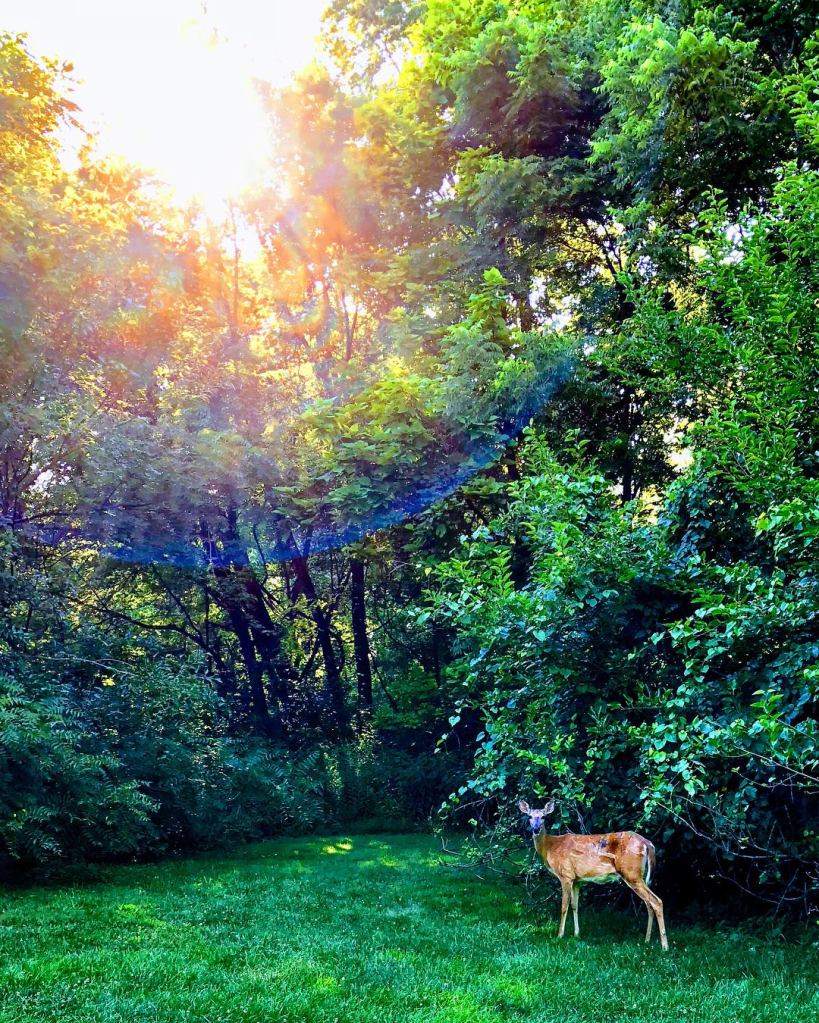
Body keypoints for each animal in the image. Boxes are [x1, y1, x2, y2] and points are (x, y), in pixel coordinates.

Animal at [519, 800, 668, 950]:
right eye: (530, 816)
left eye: (543, 817)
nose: (535, 829)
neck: (550, 847)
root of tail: (648, 844)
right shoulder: (577, 879)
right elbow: (575, 905)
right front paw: (576, 934)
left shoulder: (566, 875)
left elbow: (564, 906)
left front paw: (559, 935)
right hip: (641, 875)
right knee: (648, 903)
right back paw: (647, 941)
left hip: (631, 872)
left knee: (656, 901)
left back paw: (664, 946)